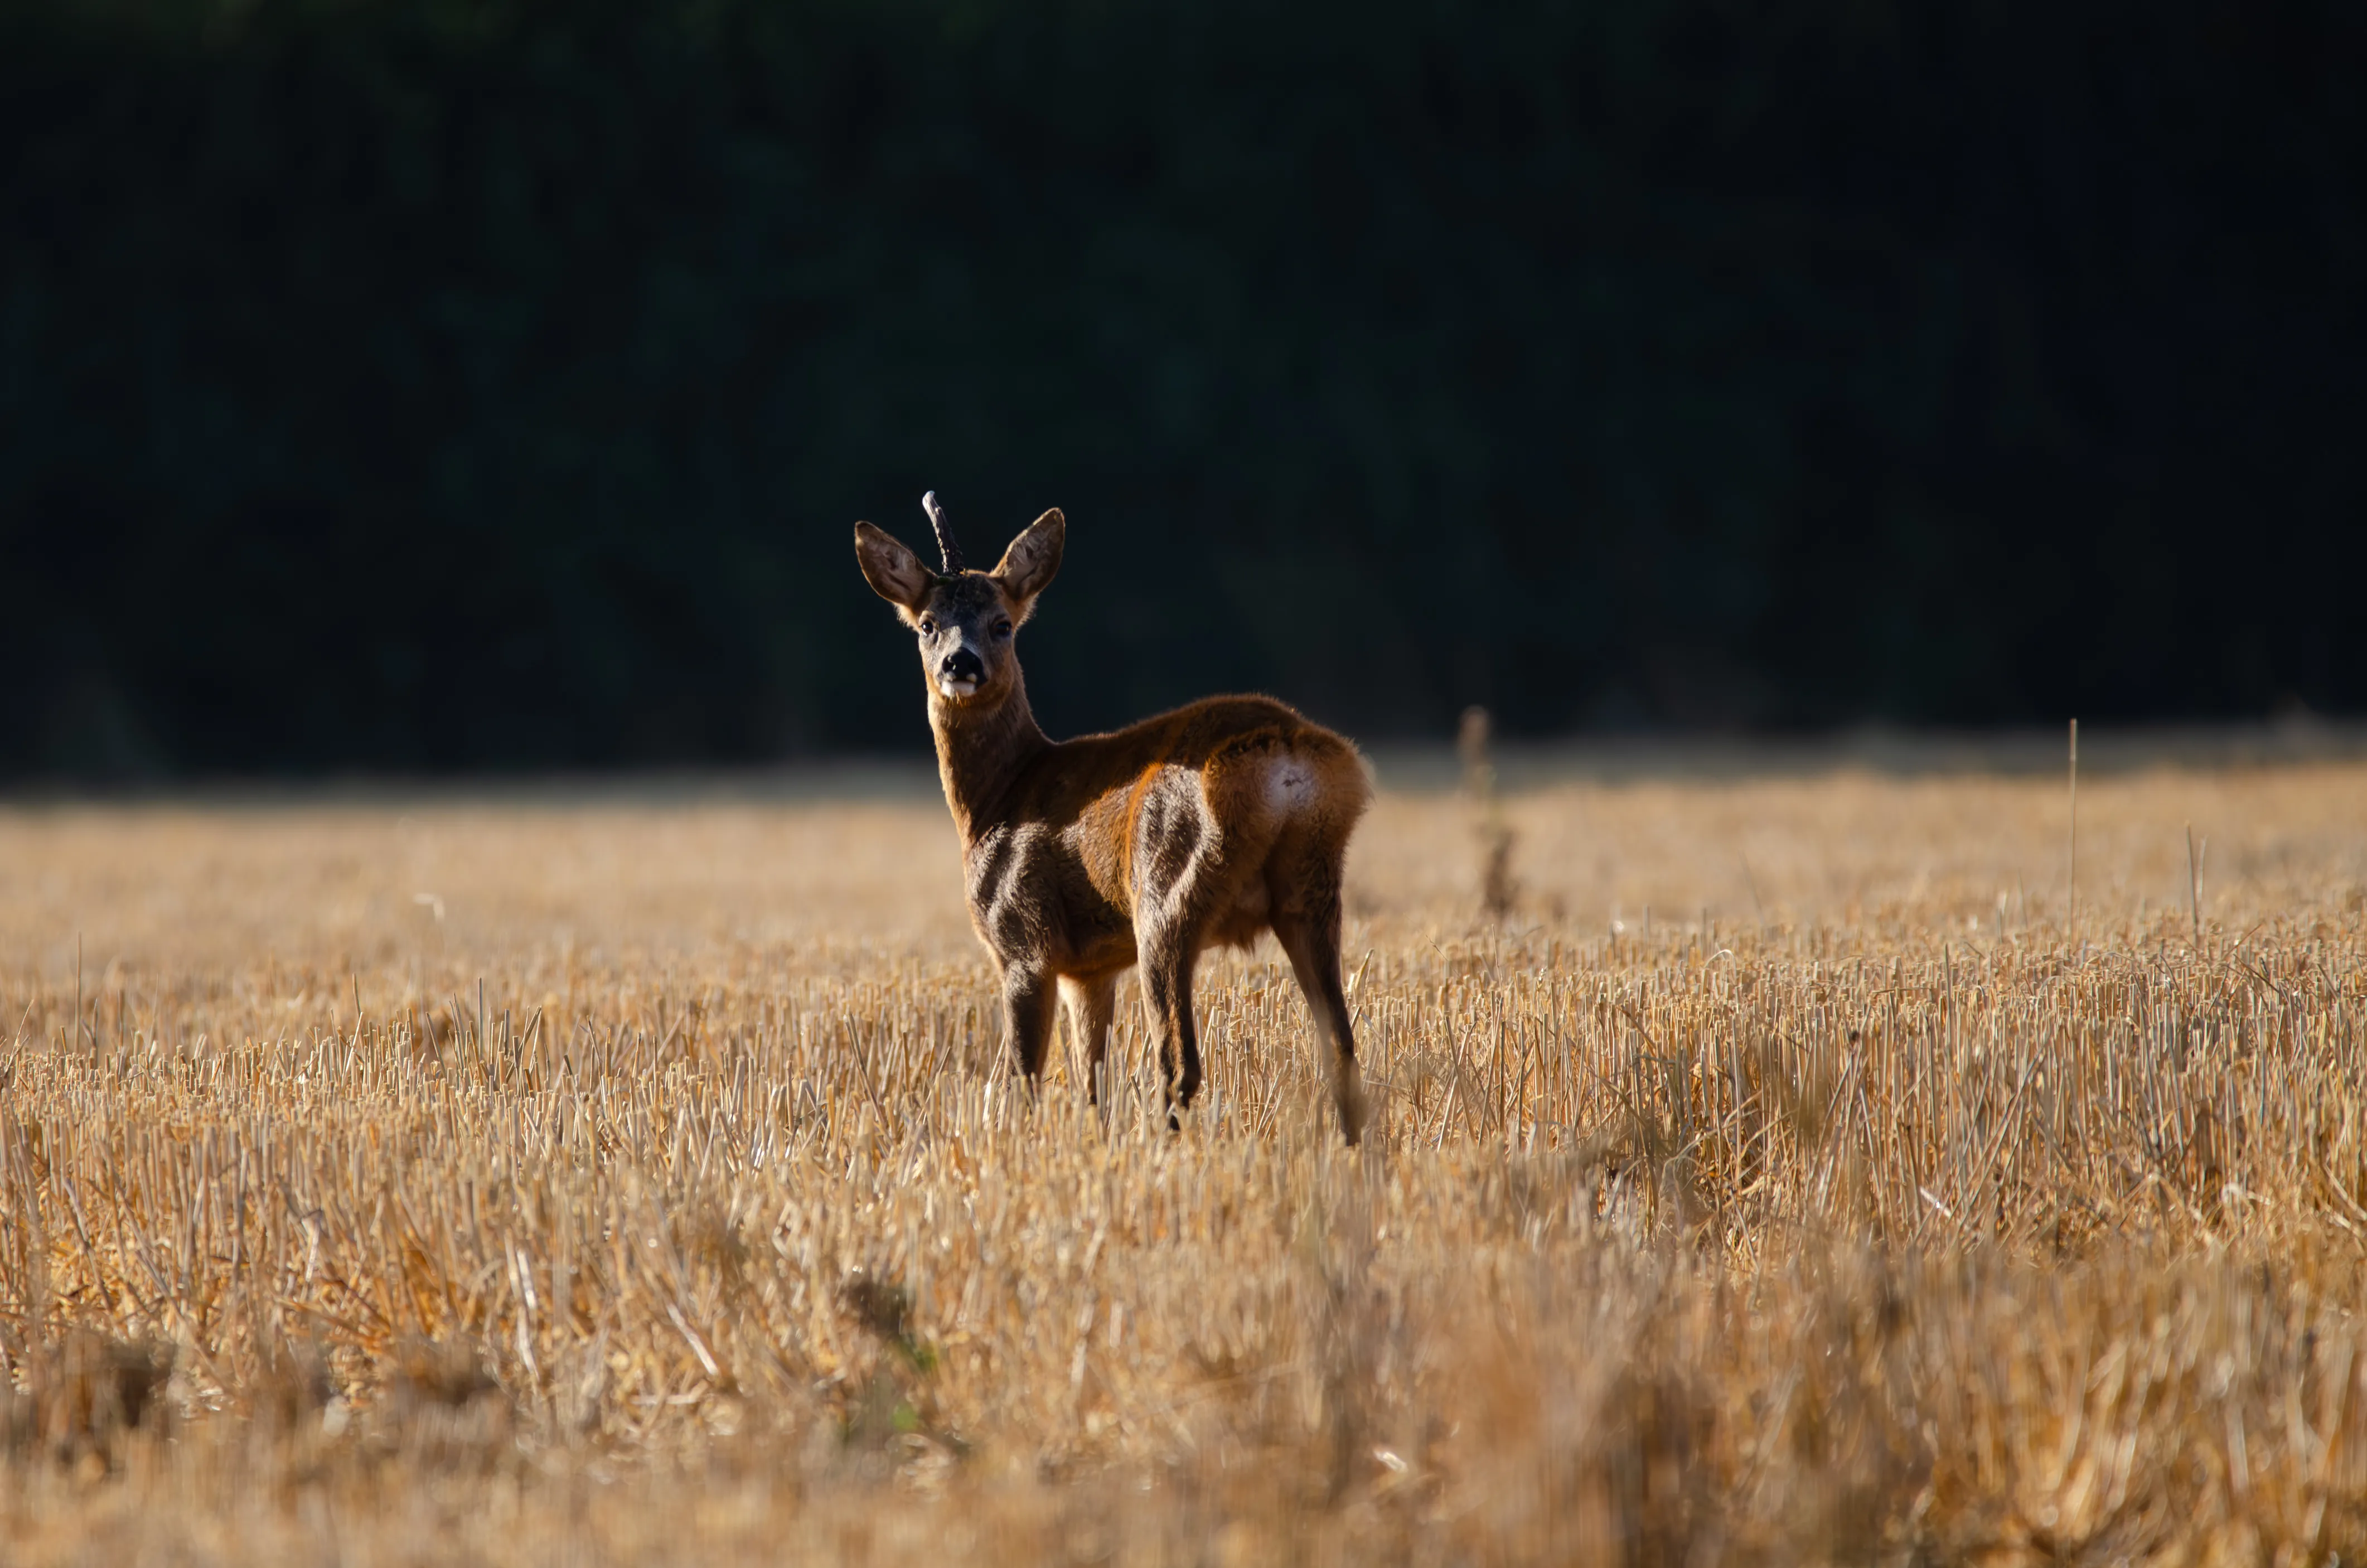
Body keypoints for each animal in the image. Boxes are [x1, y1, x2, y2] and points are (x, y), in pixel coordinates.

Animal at [853, 494, 1372, 1143]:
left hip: (1165, 894)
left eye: (1002, 623)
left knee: (1178, 1063)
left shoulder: (1025, 941)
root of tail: (1289, 755)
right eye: (927, 624)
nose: (960, 662)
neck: (998, 797)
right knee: (1340, 1049)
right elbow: (1089, 1086)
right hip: (1313, 891)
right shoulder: (1091, 968)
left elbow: (1024, 1080)